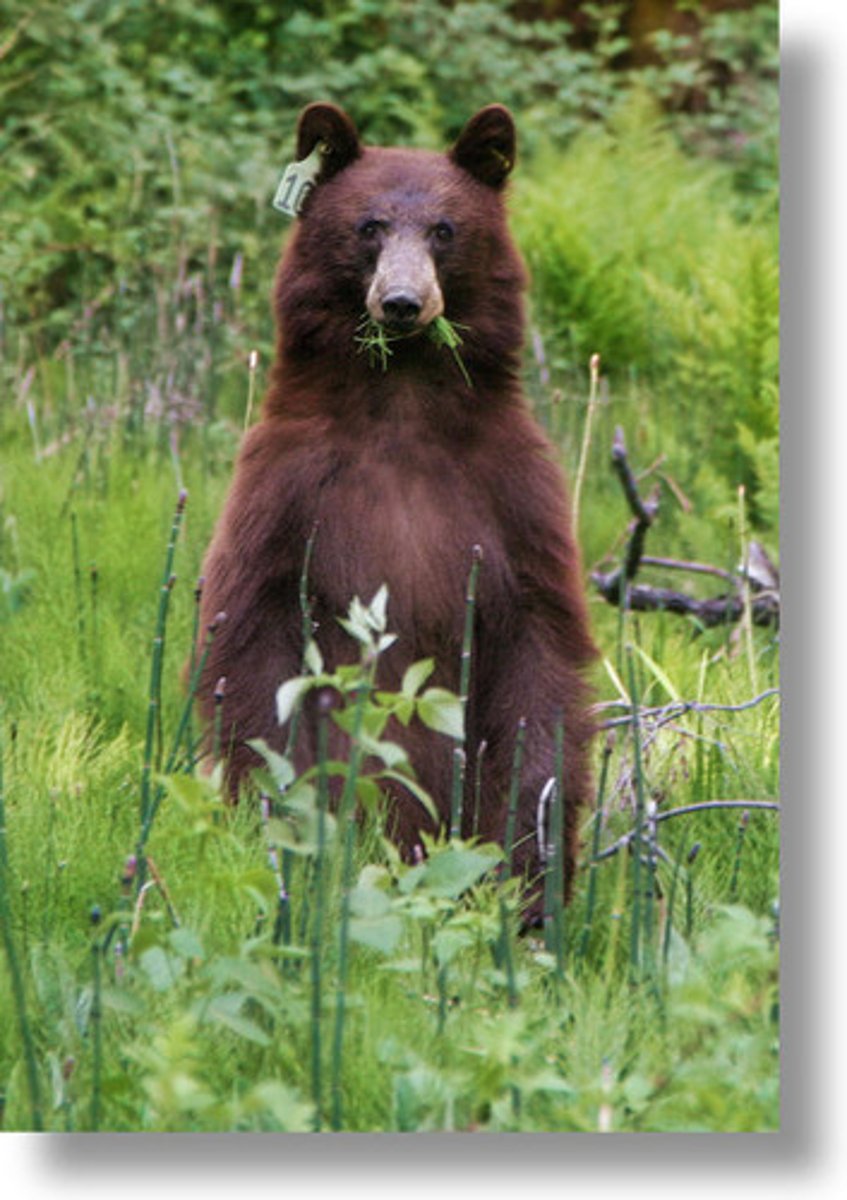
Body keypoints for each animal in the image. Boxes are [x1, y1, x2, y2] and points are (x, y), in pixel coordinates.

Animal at [196, 105, 595, 916]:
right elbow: (250, 650)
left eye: (445, 229)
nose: (405, 303)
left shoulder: (514, 501)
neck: (402, 404)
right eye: (369, 226)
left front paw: (526, 871)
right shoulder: (284, 494)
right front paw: (296, 828)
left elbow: (542, 661)